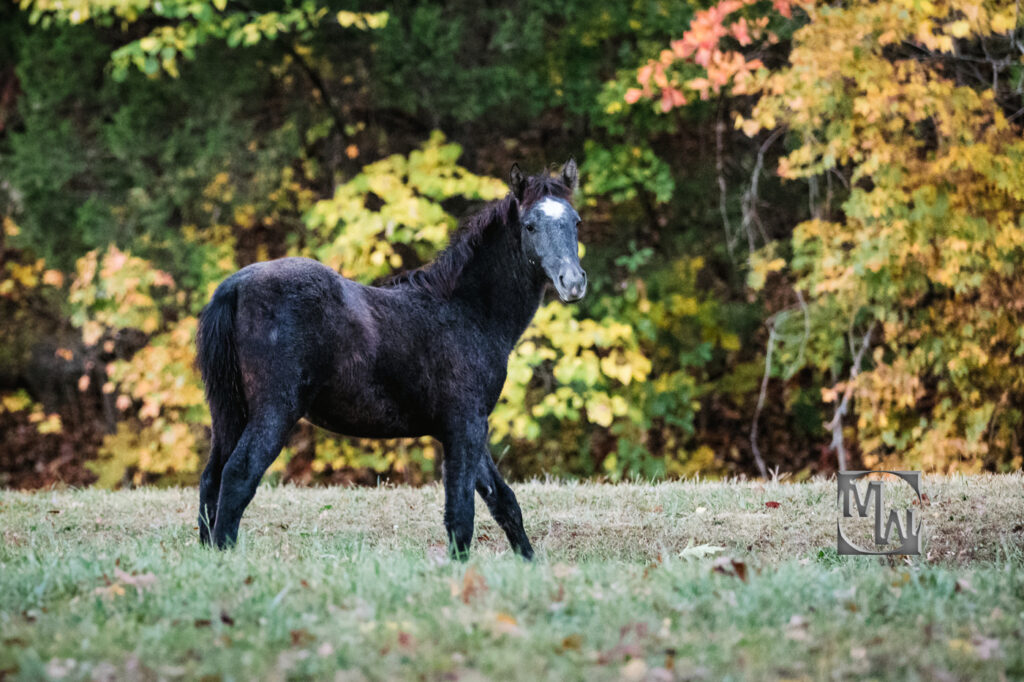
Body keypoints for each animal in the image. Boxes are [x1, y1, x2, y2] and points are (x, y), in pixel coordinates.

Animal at [195, 160, 589, 557]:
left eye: (575, 222)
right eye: (530, 225)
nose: (572, 283)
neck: (466, 311)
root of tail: (234, 285)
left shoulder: (466, 427)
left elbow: (503, 501)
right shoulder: (466, 424)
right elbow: (462, 515)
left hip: (229, 411)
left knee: (212, 477)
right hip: (275, 410)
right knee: (238, 474)